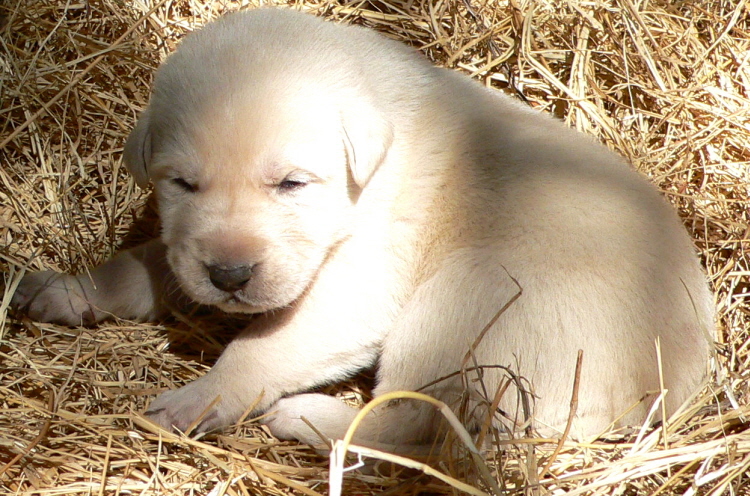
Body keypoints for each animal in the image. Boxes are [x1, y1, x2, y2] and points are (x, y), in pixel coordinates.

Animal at [11, 9, 716, 448]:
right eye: (182, 184)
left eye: (293, 184)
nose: (230, 276)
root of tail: (664, 393)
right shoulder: (188, 244)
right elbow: (145, 264)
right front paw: (69, 291)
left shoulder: (360, 283)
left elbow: (266, 344)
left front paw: (203, 395)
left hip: (467, 299)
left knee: (415, 423)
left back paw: (304, 417)